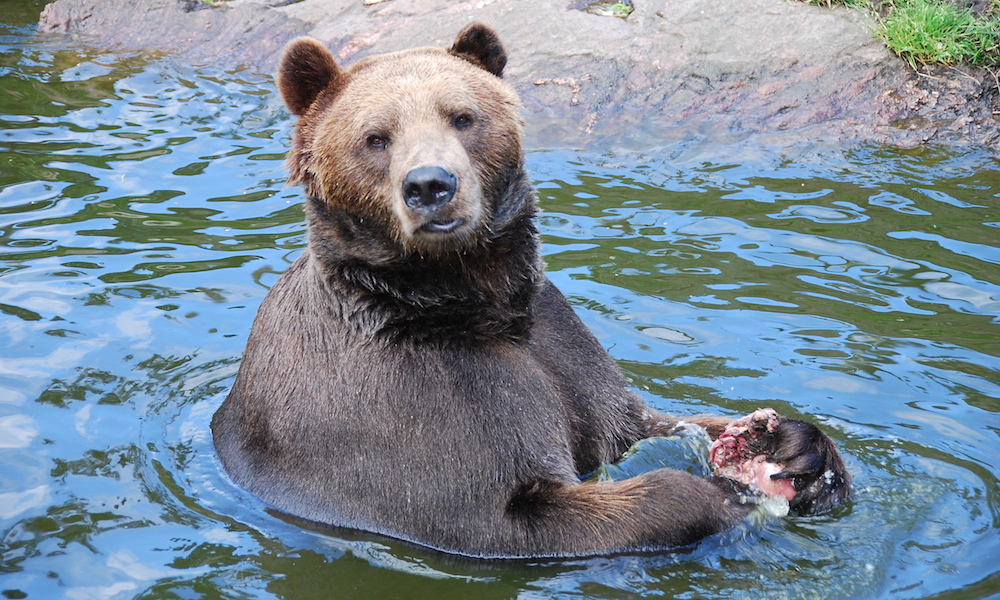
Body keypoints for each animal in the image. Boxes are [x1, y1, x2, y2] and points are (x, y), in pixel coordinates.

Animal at [211, 23, 852, 556]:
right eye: (375, 137)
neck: (467, 302)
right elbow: (513, 511)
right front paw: (720, 495)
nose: (431, 185)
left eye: (462, 116)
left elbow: (638, 418)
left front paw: (789, 448)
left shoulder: (557, 343)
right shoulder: (403, 403)